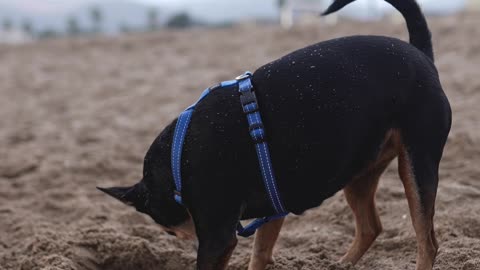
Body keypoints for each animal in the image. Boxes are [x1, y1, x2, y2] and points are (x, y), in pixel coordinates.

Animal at [98, 0, 454, 270]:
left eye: (169, 231)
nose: (182, 238)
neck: (176, 161)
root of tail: (421, 53)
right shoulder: (272, 206)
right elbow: (260, 253)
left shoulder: (217, 237)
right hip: (360, 171)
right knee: (371, 227)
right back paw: (339, 265)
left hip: (416, 165)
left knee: (427, 241)